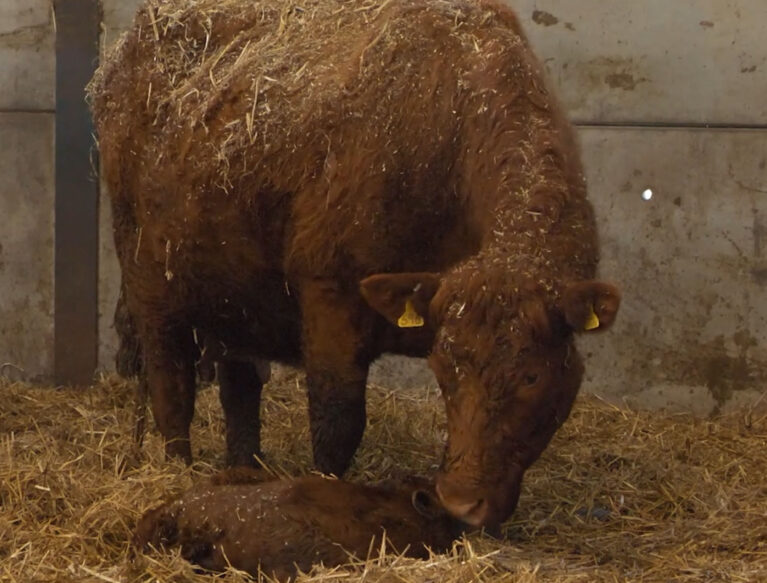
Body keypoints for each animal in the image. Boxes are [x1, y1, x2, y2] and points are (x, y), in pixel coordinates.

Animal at [90, 0, 620, 528]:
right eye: (445, 372)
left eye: (531, 377)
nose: (462, 501)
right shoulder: (331, 299)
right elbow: (337, 425)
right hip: (151, 285)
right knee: (171, 389)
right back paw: (177, 471)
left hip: (236, 296)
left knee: (239, 389)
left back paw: (244, 469)